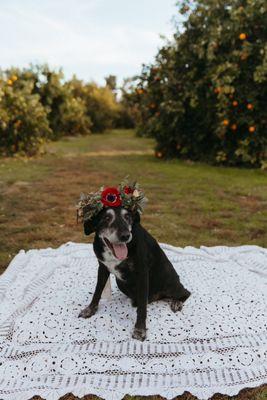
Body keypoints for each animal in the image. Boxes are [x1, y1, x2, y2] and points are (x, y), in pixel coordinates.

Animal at [78, 206, 192, 340]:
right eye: (106, 217)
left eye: (128, 217)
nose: (125, 236)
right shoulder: (102, 268)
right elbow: (97, 291)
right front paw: (90, 310)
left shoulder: (142, 275)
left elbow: (142, 308)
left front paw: (139, 329)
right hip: (120, 283)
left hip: (169, 283)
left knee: (186, 292)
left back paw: (176, 302)